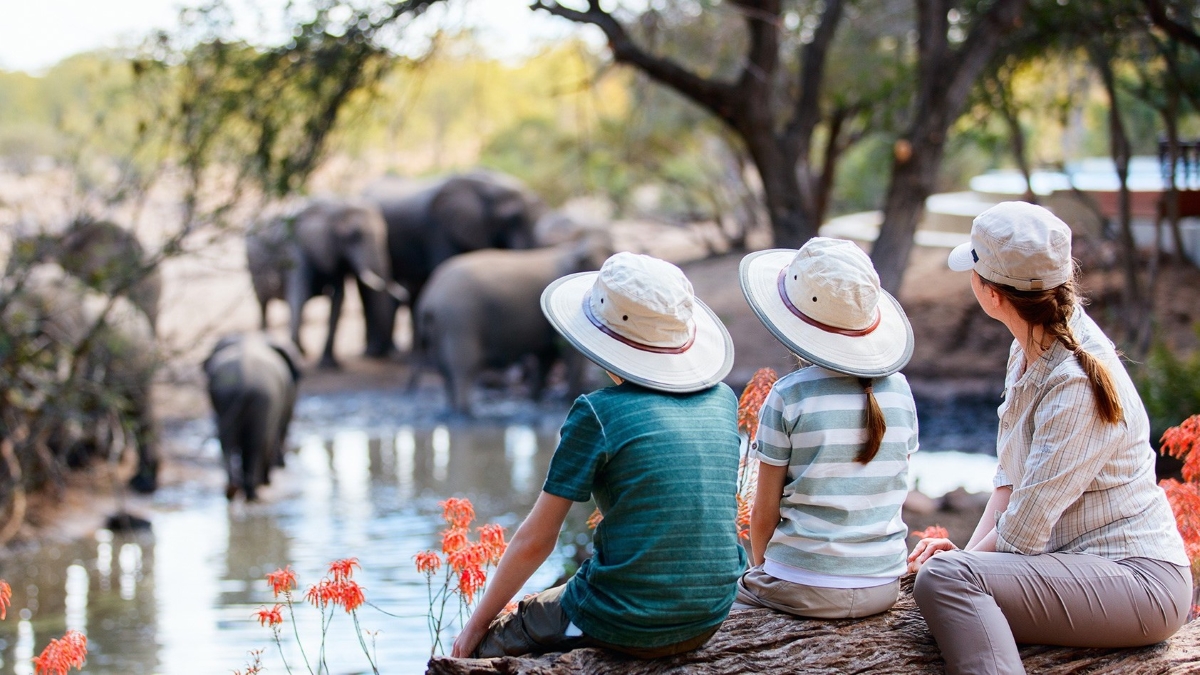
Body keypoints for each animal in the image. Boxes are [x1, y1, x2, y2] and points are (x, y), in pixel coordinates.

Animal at [204, 331, 302, 499]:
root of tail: (243, 381)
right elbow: (276, 430)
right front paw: (268, 479)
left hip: (225, 397)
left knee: (227, 443)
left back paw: (233, 490)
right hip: (263, 398)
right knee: (257, 442)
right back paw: (253, 491)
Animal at [244, 198, 408, 367]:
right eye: (353, 236)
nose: (405, 293)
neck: (335, 208)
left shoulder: (335, 257)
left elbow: (338, 300)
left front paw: (328, 364)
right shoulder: (296, 250)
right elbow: (299, 296)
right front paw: (298, 354)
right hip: (253, 266)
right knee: (263, 304)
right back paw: (268, 344)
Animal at [415, 229, 619, 415]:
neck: (573, 247)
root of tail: (429, 298)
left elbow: (547, 356)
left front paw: (535, 400)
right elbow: (567, 355)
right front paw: (566, 400)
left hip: (442, 325)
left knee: (443, 367)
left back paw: (453, 410)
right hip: (460, 319)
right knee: (463, 366)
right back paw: (465, 413)